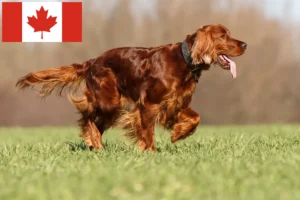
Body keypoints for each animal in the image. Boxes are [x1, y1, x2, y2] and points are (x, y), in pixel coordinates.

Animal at [15, 24, 246, 151]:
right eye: (223, 36)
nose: (245, 44)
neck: (184, 61)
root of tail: (93, 61)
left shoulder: (176, 104)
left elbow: (196, 118)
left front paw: (178, 134)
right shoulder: (148, 104)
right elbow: (148, 131)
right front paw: (150, 152)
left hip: (112, 106)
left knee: (95, 123)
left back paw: (94, 145)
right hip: (109, 101)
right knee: (88, 116)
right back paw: (96, 144)